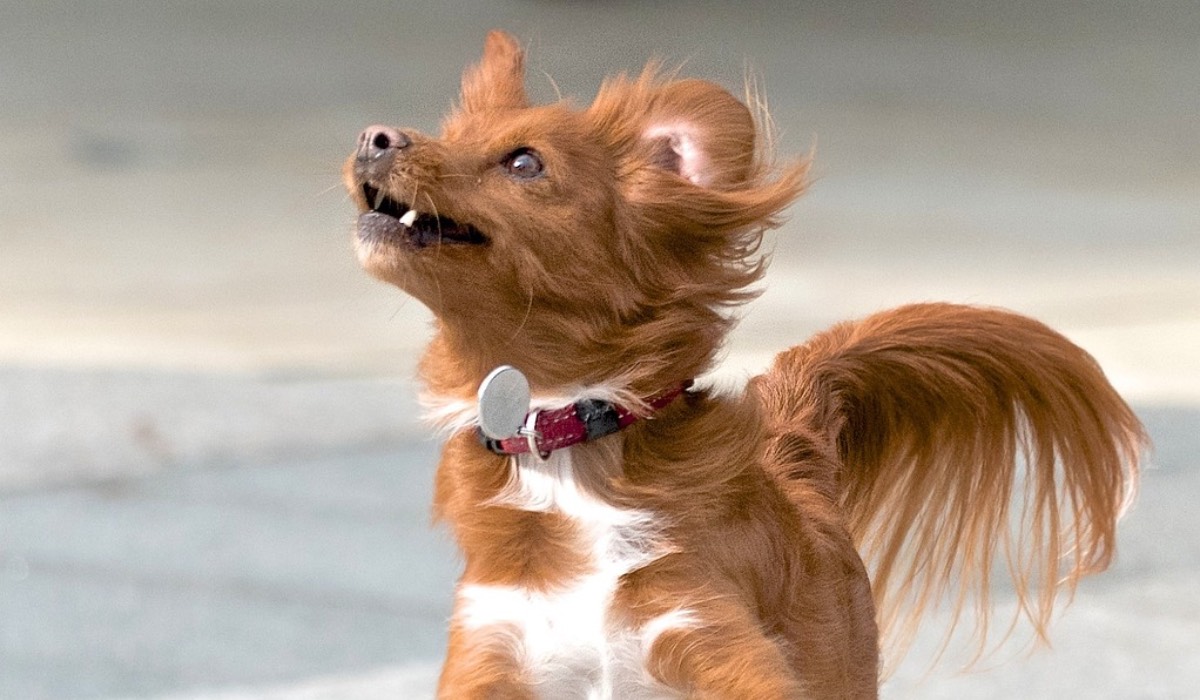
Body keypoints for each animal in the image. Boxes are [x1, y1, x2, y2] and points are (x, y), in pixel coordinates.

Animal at [345, 30, 1142, 696]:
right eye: (447, 134)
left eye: (523, 162)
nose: (373, 136)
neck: (567, 435)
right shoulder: (492, 652)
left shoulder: (715, 638)